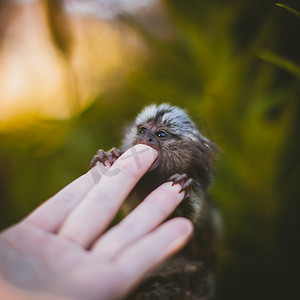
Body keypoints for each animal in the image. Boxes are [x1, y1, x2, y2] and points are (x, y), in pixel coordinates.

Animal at [90, 103, 219, 298]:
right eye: (143, 130)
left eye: (161, 135)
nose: (146, 137)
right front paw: (108, 155)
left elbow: (190, 221)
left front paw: (184, 187)